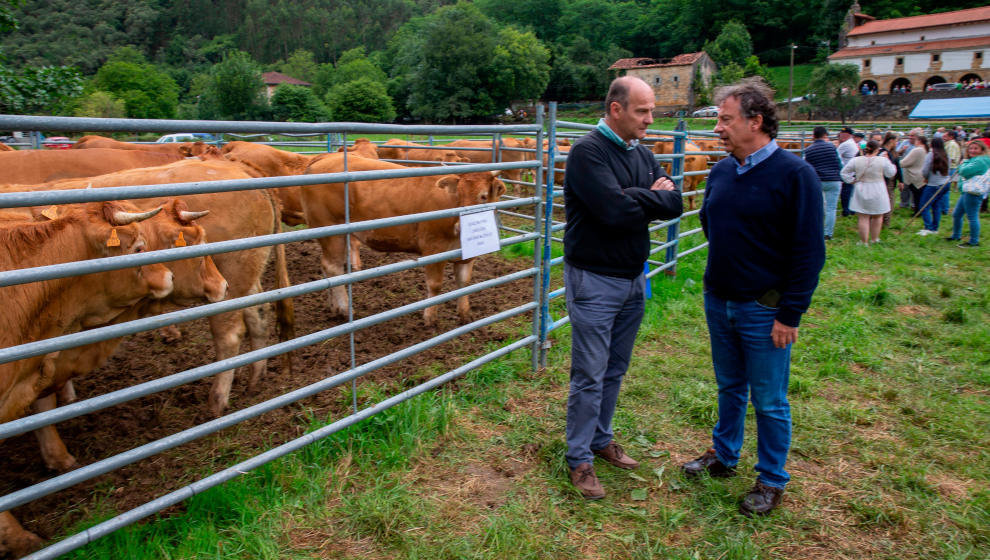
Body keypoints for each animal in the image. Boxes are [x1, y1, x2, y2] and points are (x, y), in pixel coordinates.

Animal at [300, 155, 504, 326]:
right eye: (459, 195)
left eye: (483, 196)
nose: (461, 227)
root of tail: (324, 157)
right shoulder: (433, 247)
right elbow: (435, 285)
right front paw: (430, 318)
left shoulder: (467, 255)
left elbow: (464, 283)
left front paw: (465, 315)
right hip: (330, 230)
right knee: (333, 268)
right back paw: (344, 309)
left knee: (327, 266)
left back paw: (334, 307)